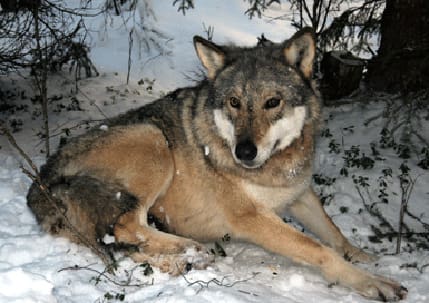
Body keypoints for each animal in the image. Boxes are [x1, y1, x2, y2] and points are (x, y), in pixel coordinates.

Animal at [25, 27, 406, 302]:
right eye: (235, 102)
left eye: (272, 102)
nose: (245, 151)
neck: (273, 168)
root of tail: (40, 182)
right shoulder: (252, 217)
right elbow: (320, 250)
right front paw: (374, 282)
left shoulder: (299, 194)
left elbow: (334, 233)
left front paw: (365, 257)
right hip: (153, 140)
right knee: (125, 228)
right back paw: (187, 249)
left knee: (126, 243)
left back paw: (181, 257)